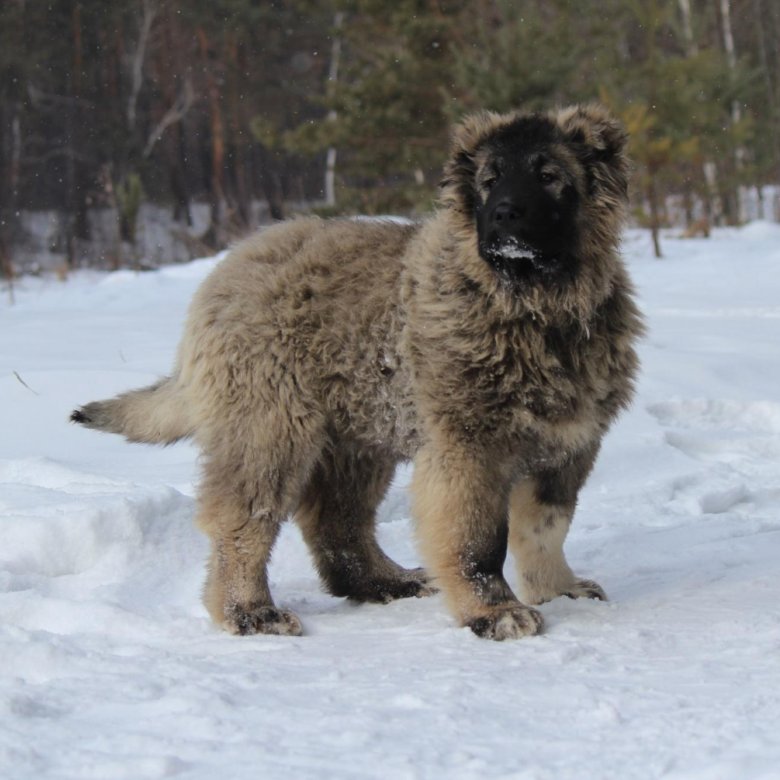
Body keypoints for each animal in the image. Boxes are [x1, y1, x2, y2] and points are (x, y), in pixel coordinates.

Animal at [73, 103, 644, 640]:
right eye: (490, 179)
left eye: (548, 175)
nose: (503, 213)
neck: (533, 308)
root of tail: (233, 263)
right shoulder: (468, 445)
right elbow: (477, 539)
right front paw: (494, 612)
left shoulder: (570, 443)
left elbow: (546, 526)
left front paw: (558, 590)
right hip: (269, 427)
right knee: (244, 520)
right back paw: (250, 612)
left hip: (359, 432)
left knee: (337, 523)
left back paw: (385, 582)